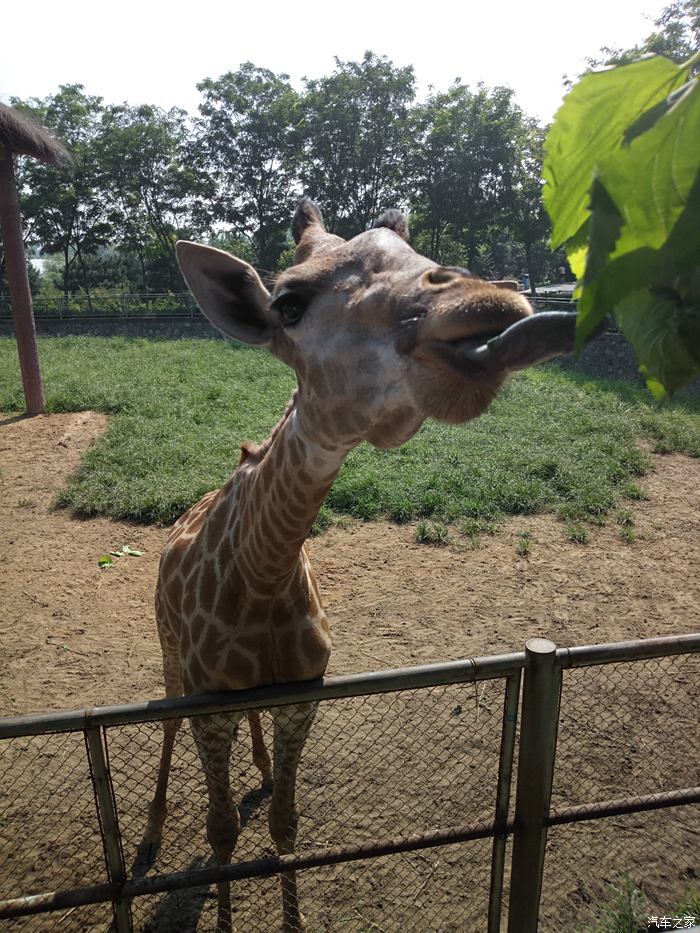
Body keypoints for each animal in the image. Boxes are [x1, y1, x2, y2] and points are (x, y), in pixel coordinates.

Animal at [145, 198, 592, 932]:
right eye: (288, 303)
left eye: (407, 251)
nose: (486, 299)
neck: (263, 572)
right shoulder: (210, 705)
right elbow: (220, 832)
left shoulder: (302, 696)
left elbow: (287, 825)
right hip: (169, 650)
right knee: (166, 719)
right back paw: (152, 829)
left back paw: (259, 771)